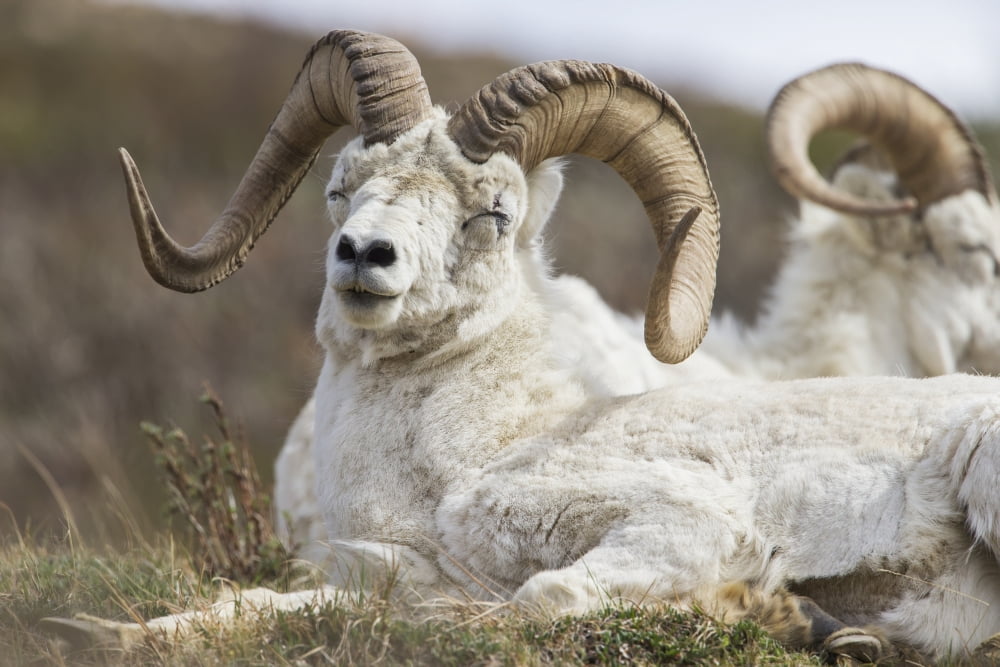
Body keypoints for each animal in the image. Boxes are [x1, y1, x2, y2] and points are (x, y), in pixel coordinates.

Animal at [44, 32, 1000, 662]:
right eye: (341, 186)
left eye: (494, 212)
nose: (364, 255)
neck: (467, 454)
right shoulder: (380, 569)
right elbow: (253, 604)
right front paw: (98, 631)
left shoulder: (681, 524)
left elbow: (535, 598)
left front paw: (766, 611)